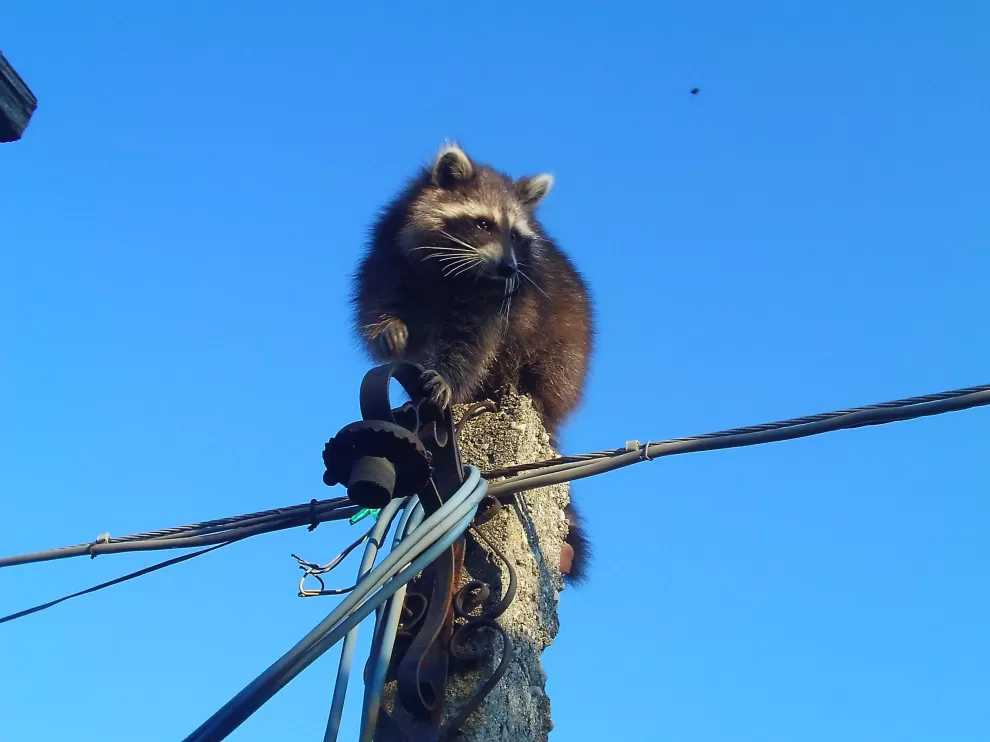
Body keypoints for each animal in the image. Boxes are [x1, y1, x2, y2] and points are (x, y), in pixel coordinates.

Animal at [352, 145, 592, 584]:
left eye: (515, 235)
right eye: (482, 223)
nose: (509, 267)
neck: (449, 270)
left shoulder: (495, 299)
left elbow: (471, 347)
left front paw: (447, 379)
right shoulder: (386, 258)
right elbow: (377, 311)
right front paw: (389, 331)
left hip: (566, 344)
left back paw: (513, 388)